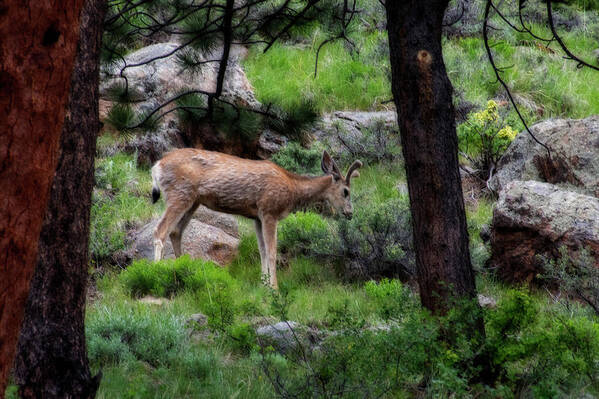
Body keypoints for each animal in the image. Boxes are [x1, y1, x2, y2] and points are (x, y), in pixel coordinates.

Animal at [152, 148, 364, 290]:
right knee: (160, 230)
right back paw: (156, 269)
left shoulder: (256, 217)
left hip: (193, 200)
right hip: (179, 193)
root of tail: (156, 167)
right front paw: (275, 288)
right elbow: (271, 252)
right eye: (346, 191)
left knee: (176, 231)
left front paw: (264, 284)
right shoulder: (269, 211)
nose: (350, 213)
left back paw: (182, 268)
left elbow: (261, 251)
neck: (292, 189)